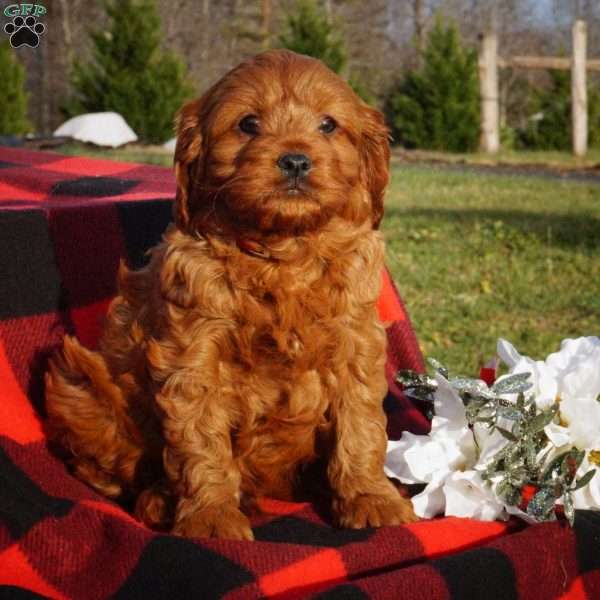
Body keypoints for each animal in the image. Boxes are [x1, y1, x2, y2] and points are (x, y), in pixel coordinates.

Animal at [45, 50, 418, 540]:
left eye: (328, 125)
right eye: (248, 124)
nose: (295, 161)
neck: (282, 254)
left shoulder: (354, 340)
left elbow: (361, 425)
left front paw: (371, 498)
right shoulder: (195, 350)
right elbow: (200, 436)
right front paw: (210, 516)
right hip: (80, 382)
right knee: (121, 470)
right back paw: (161, 500)